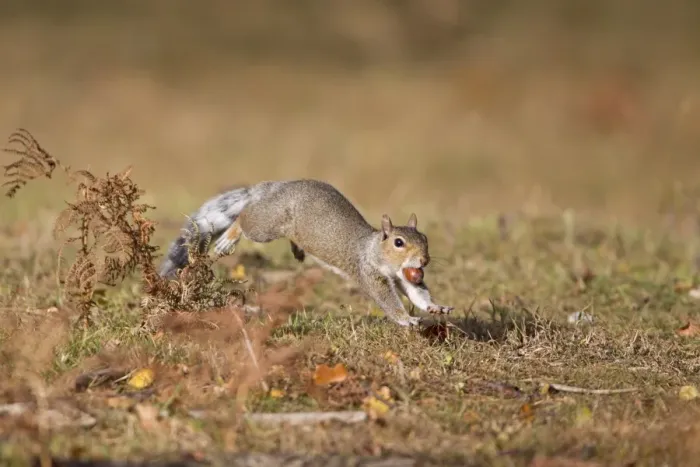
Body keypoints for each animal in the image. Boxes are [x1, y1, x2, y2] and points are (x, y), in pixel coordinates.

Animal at [158, 179, 454, 326]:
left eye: (425, 239)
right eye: (399, 243)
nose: (424, 260)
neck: (373, 249)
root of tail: (275, 189)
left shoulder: (405, 277)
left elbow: (417, 293)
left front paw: (435, 307)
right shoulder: (370, 273)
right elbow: (388, 301)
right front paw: (407, 319)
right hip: (266, 225)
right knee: (244, 218)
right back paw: (231, 236)